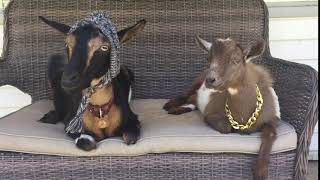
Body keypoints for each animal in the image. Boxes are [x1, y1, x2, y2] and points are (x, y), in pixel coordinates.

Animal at [165, 35, 280, 179]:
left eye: (236, 60)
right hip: (197, 81)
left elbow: (270, 133)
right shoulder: (211, 112)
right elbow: (225, 127)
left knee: (193, 100)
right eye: (208, 59)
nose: (210, 80)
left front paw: (260, 171)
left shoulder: (273, 118)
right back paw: (170, 106)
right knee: (187, 95)